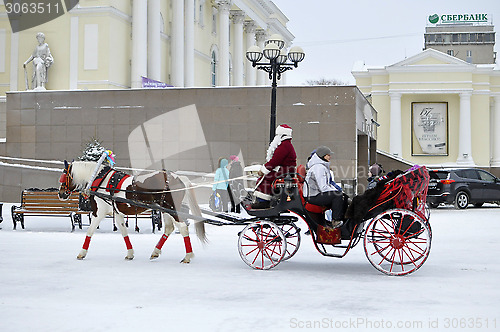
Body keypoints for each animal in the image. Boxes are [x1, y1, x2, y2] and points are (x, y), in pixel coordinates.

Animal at [57, 162, 206, 264]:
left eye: (64, 176)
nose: (61, 193)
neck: (100, 180)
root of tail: (178, 177)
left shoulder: (98, 212)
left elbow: (90, 232)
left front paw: (82, 253)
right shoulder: (117, 213)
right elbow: (124, 232)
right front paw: (130, 253)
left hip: (171, 209)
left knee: (183, 228)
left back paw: (187, 256)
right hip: (166, 210)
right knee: (169, 228)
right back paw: (155, 252)